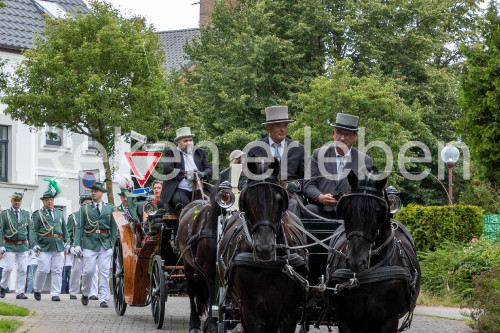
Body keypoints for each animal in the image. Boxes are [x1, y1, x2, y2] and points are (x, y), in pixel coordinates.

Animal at [219, 156, 308, 332]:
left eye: (279, 200)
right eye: (247, 200)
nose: (265, 249)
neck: (269, 266)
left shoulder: (290, 312)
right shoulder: (250, 311)